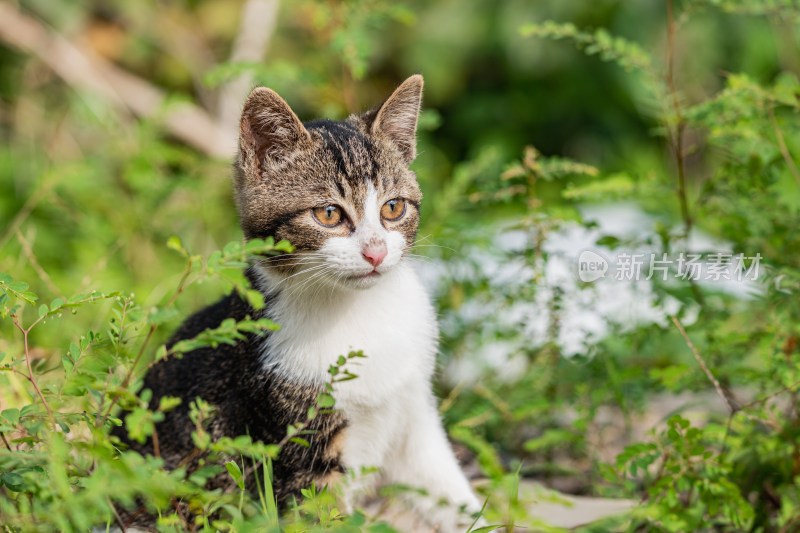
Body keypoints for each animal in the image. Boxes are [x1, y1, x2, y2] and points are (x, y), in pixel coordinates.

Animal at [119, 76, 482, 532]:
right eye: (328, 214)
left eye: (394, 208)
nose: (377, 252)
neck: (358, 311)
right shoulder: (296, 443)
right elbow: (320, 513)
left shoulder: (414, 409)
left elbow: (446, 487)